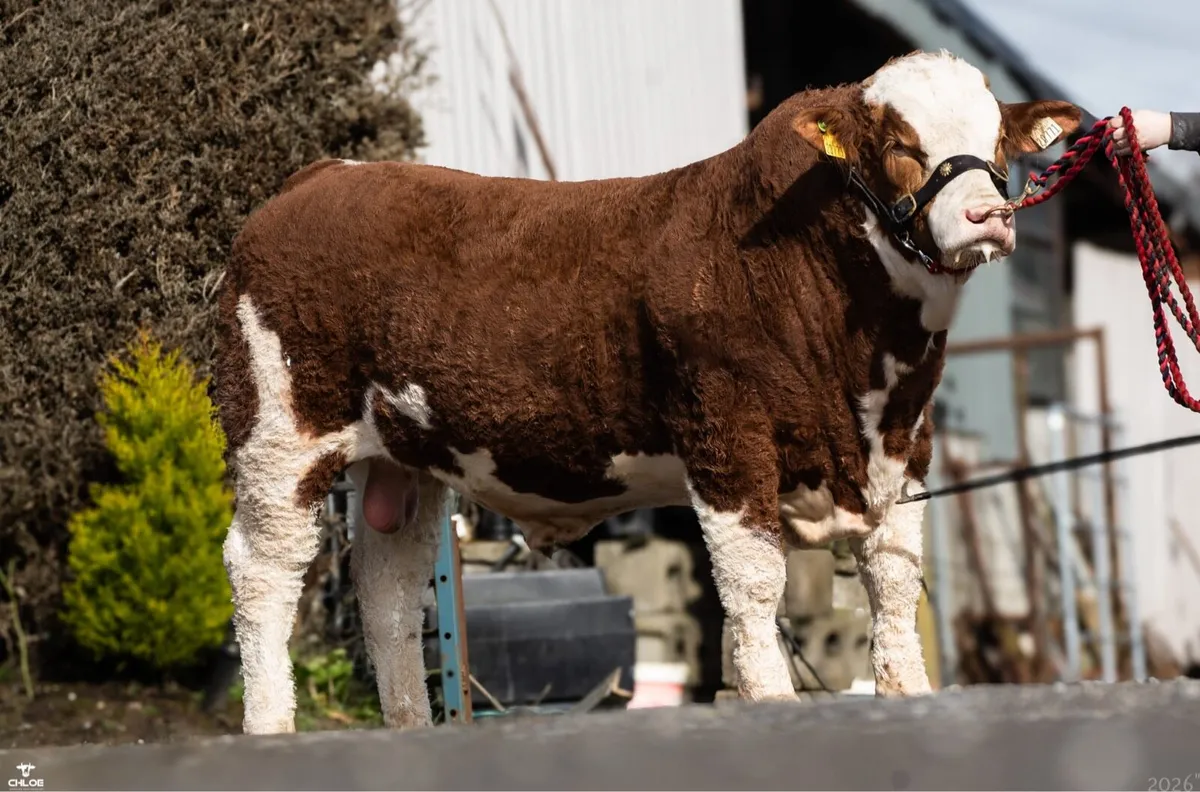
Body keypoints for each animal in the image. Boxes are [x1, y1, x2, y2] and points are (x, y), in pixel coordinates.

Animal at [212, 49, 1081, 734]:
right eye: (902, 144)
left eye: (996, 144)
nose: (987, 214)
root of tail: (321, 175)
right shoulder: (727, 436)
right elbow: (754, 586)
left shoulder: (908, 448)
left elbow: (895, 583)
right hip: (279, 433)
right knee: (262, 574)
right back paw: (270, 726)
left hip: (404, 455)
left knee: (388, 588)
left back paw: (409, 728)